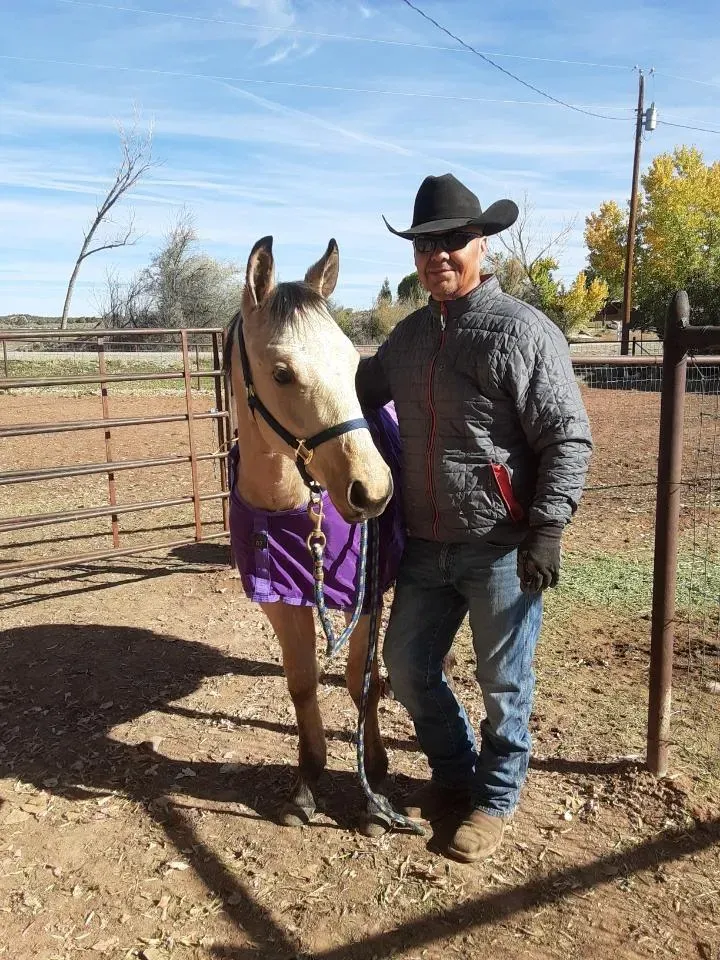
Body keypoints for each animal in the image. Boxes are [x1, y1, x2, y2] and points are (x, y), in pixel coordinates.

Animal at [224, 236, 403, 835]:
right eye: (282, 373)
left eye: (352, 363)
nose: (373, 491)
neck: (294, 510)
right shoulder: (281, 600)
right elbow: (301, 683)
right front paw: (308, 782)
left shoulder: (364, 596)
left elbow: (357, 682)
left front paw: (376, 783)